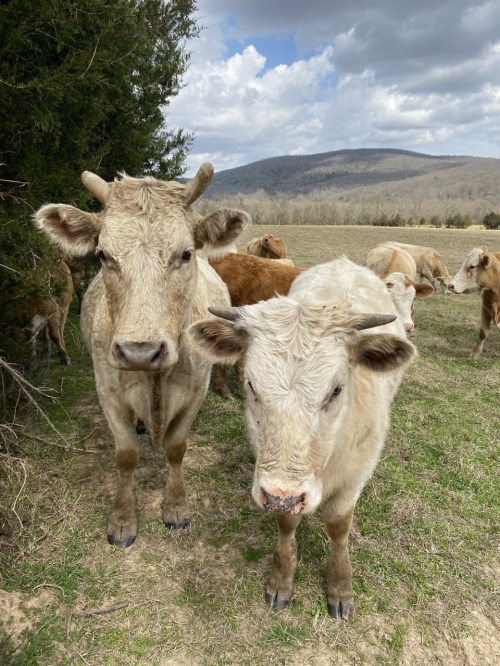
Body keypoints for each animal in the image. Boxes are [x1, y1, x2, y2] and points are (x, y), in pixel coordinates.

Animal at [34, 163, 250, 546]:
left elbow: (177, 448)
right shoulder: (108, 390)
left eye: (186, 254)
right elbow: (126, 456)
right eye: (104, 255)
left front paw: (175, 506)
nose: (140, 352)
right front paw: (122, 520)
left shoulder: (196, 389)